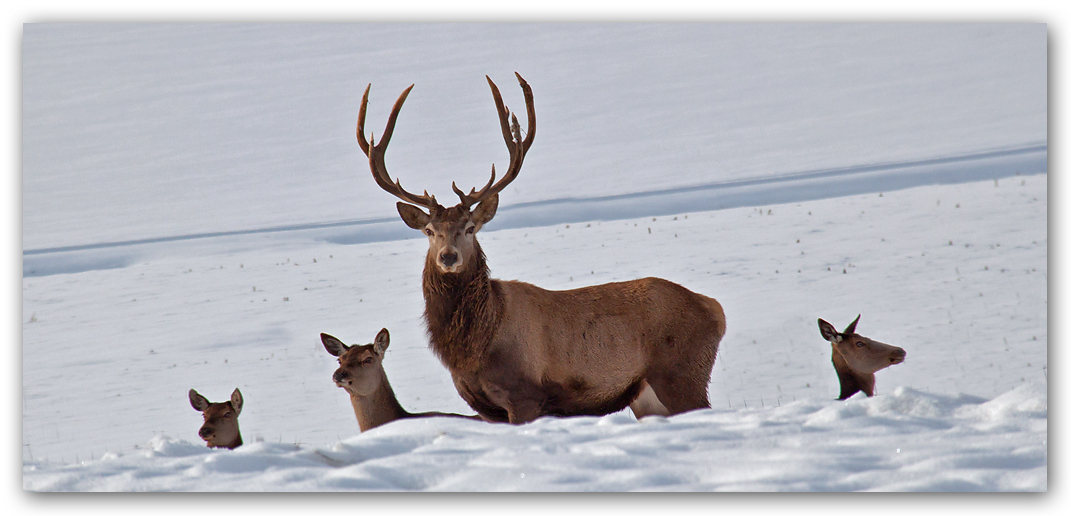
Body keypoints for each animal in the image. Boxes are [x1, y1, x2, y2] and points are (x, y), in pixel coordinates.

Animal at [355, 71, 723, 423]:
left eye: (470, 228)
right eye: (430, 231)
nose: (448, 256)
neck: (475, 348)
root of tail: (715, 310)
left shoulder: (524, 395)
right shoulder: (484, 408)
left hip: (682, 374)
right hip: (648, 395)